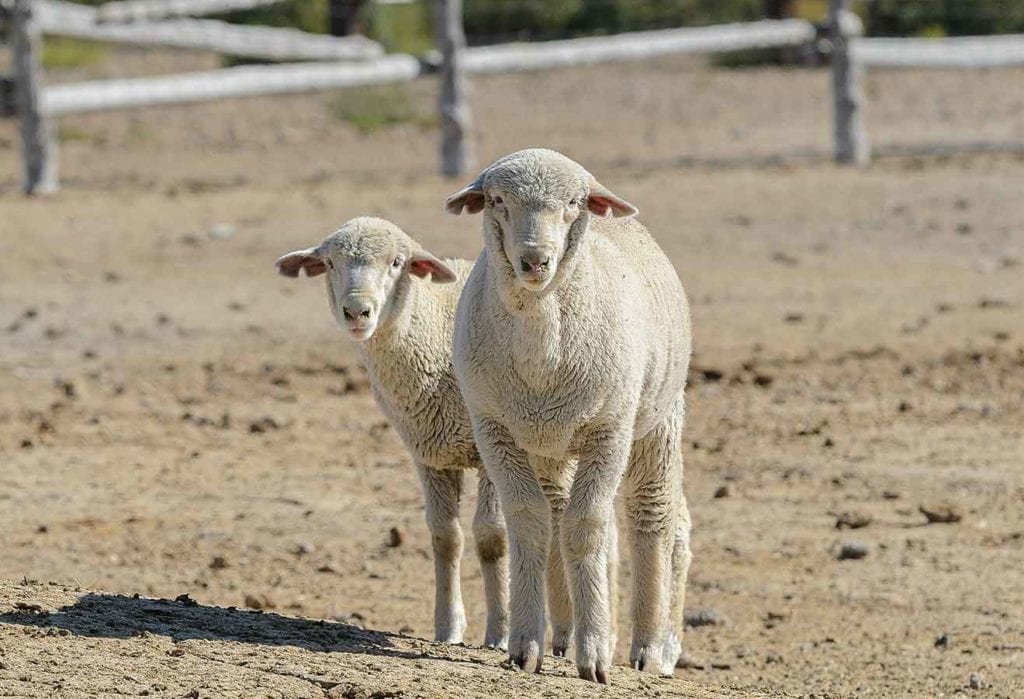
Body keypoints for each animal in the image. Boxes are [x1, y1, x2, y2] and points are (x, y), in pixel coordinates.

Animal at [274, 219, 509, 650]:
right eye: (329, 262)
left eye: (398, 262)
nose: (356, 311)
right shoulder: (429, 454)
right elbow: (445, 537)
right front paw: (448, 629)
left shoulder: (493, 448)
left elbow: (492, 536)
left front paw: (499, 633)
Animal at [444, 149, 692, 683]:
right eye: (497, 200)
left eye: (574, 203)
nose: (535, 260)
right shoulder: (495, 431)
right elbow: (529, 522)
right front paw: (525, 644)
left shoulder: (609, 430)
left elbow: (587, 527)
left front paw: (595, 652)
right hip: (549, 440)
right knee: (555, 512)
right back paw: (561, 634)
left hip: (658, 418)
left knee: (650, 517)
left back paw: (647, 647)